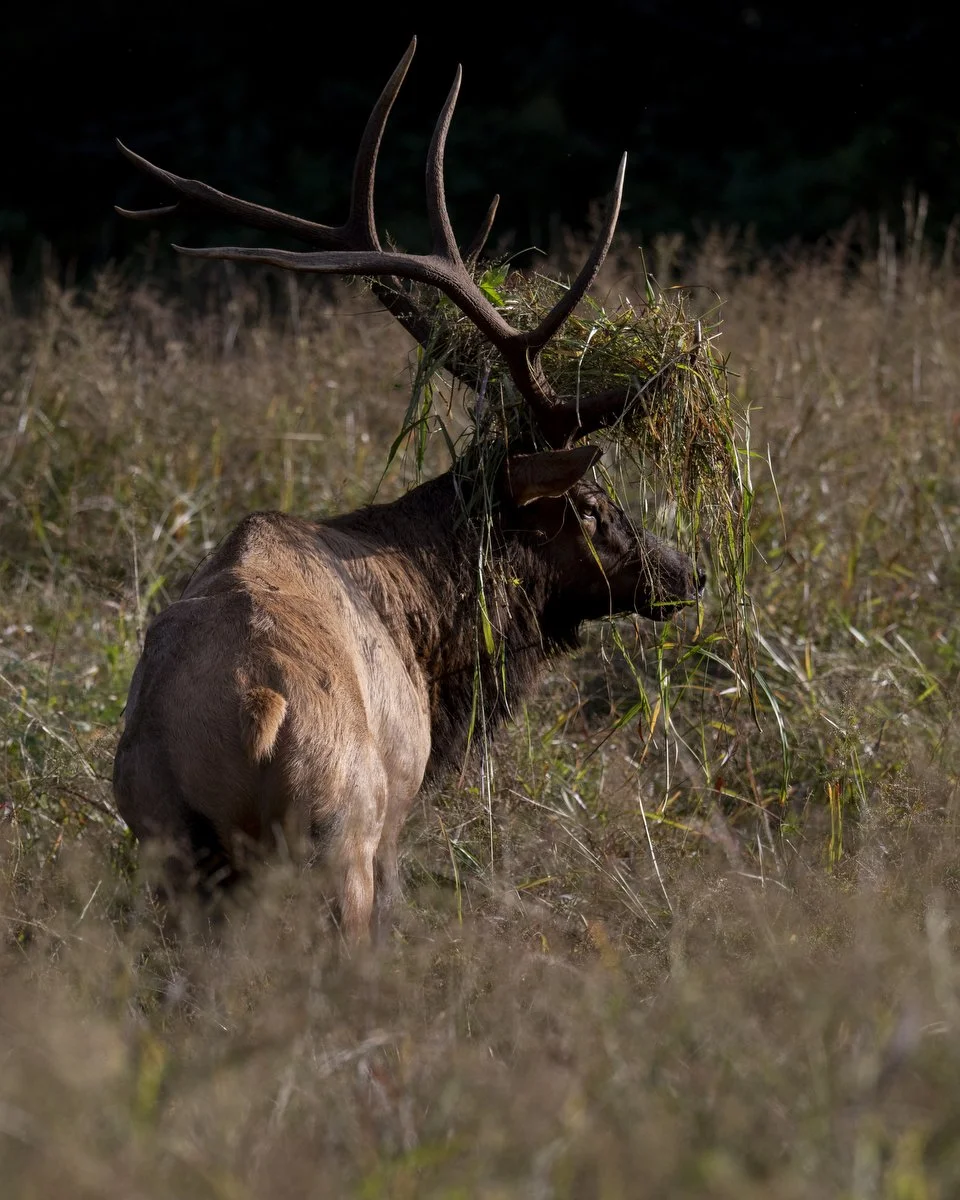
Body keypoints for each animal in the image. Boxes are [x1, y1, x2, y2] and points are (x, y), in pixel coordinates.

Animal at [112, 39, 704, 941]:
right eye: (594, 508)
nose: (687, 571)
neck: (432, 631)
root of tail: (252, 713)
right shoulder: (400, 803)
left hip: (166, 844)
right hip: (343, 830)